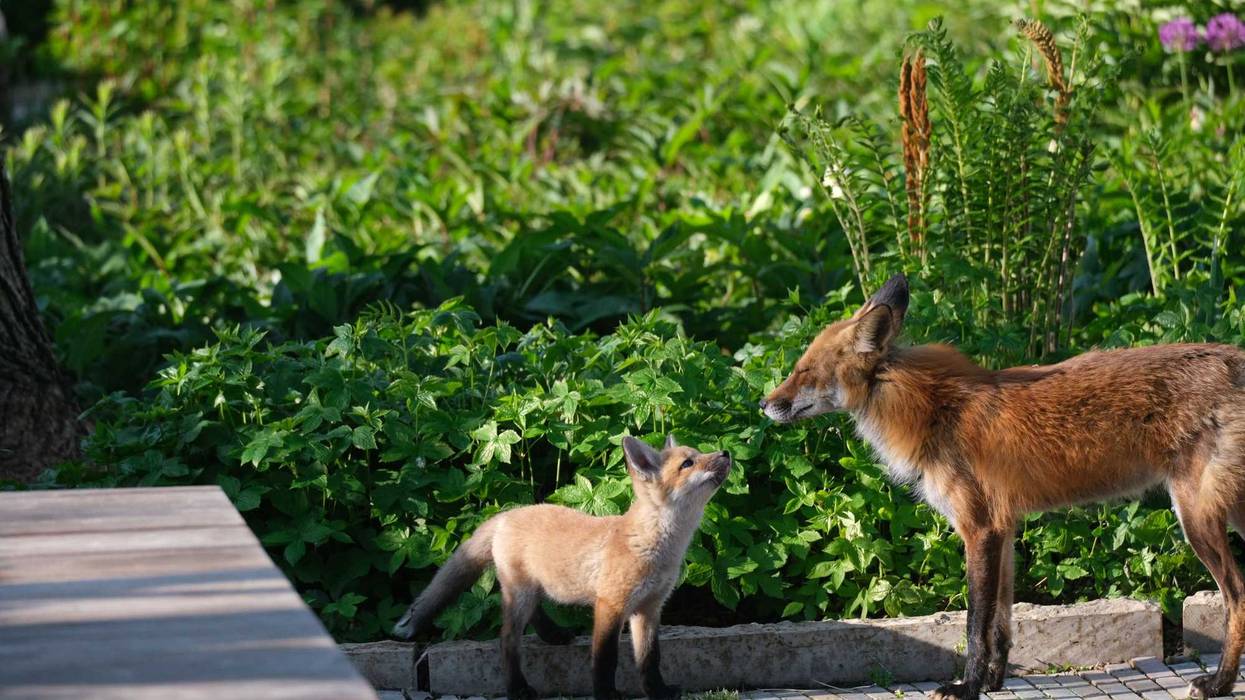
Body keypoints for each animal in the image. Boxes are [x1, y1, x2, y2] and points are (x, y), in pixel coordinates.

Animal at [392, 435, 731, 700]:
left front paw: (657, 692)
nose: (726, 453)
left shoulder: (649, 609)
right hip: (520, 594)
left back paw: (553, 635)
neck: (653, 546)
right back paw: (518, 689)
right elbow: (605, 659)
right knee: (507, 640)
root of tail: (504, 515)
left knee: (535, 614)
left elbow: (650, 659)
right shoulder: (610, 605)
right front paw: (606, 694)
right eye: (688, 463)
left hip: (532, 589)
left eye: (698, 454)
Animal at [760, 273, 1245, 700]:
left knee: (1237, 595)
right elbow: (1001, 623)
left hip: (1196, 518)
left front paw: (966, 687)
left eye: (805, 371)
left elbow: (975, 624)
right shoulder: (1004, 529)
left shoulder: (979, 528)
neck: (936, 411)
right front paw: (993, 682)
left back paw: (1219, 684)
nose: (764, 404)